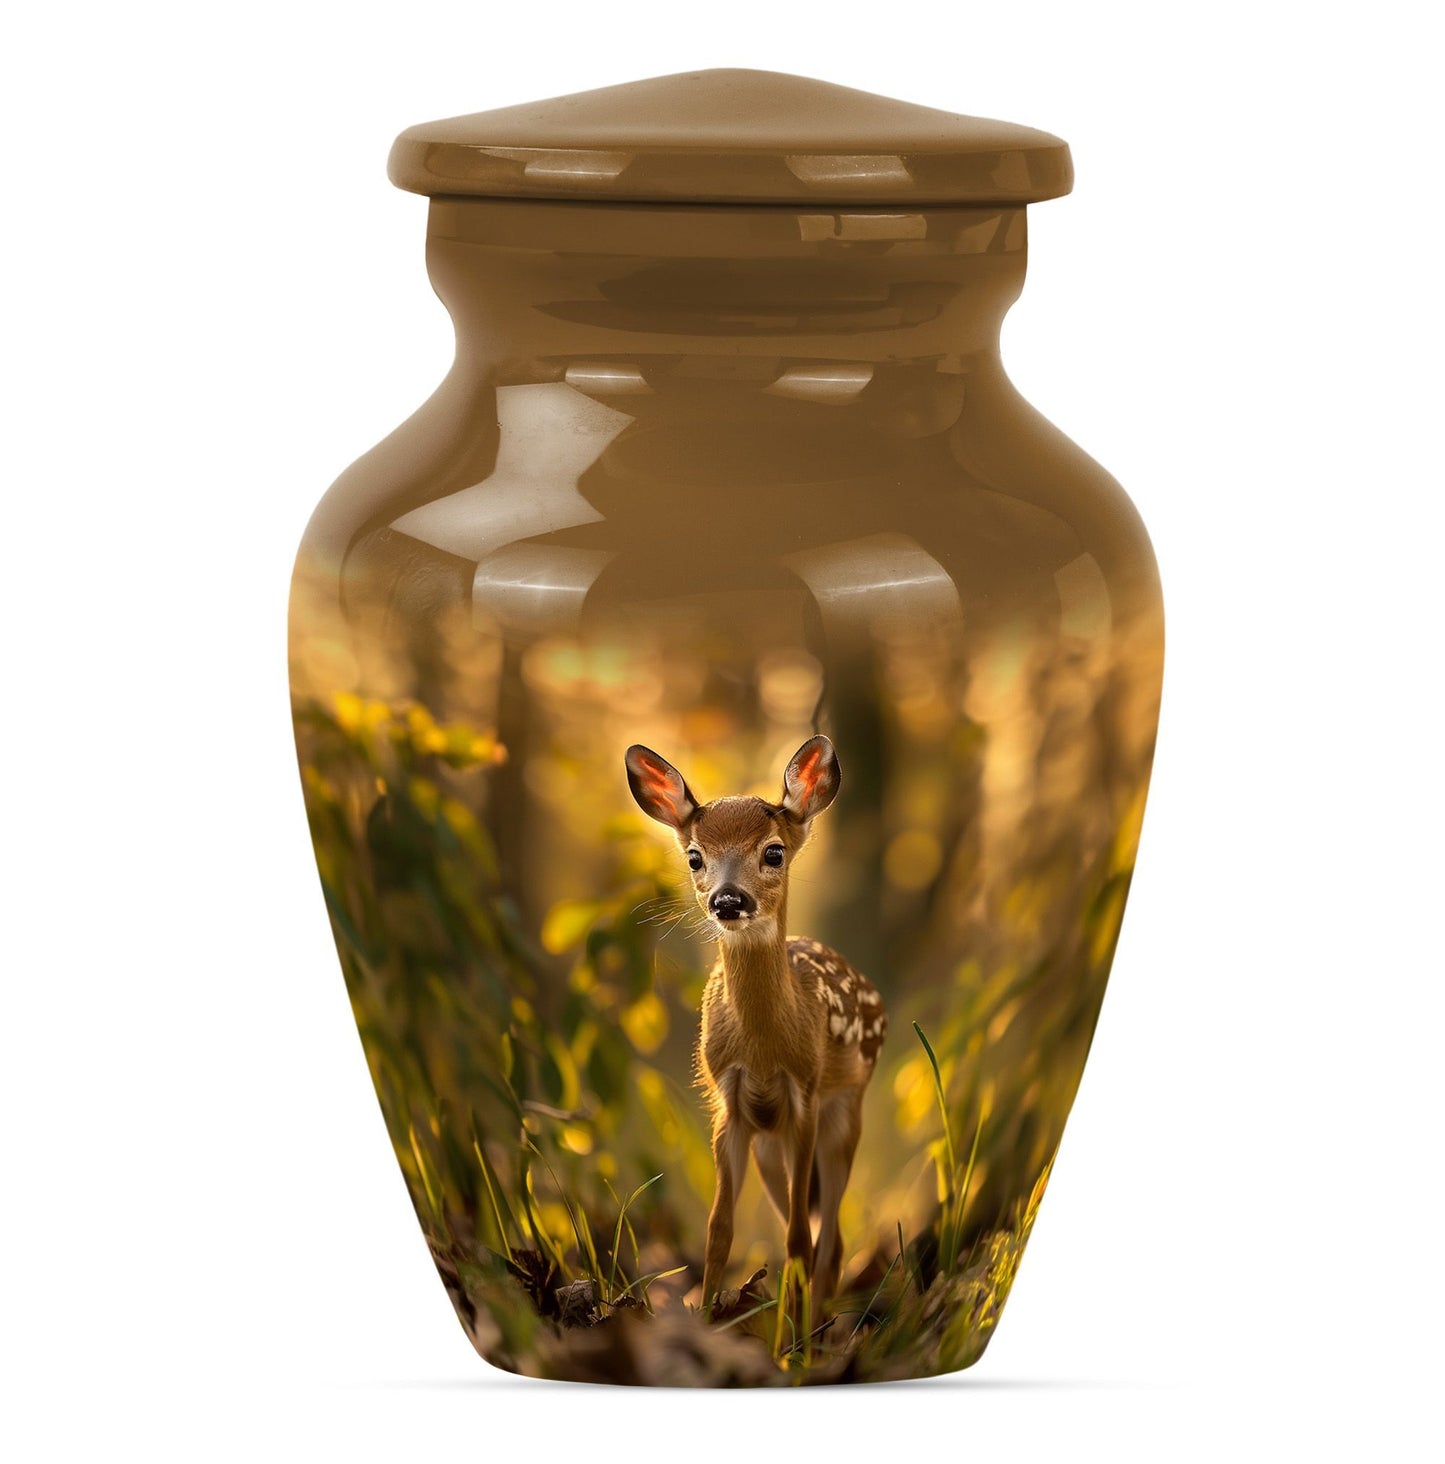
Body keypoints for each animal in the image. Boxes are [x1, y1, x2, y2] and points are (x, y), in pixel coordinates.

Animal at [624, 735, 887, 1316]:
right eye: (695, 856)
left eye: (773, 852)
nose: (727, 899)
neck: (765, 1049)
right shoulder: (730, 1104)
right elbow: (719, 1231)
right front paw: (706, 1316)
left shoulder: (805, 1093)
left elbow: (798, 1239)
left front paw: (792, 1340)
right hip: (770, 1143)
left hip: (846, 1113)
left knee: (829, 1238)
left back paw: (819, 1323)